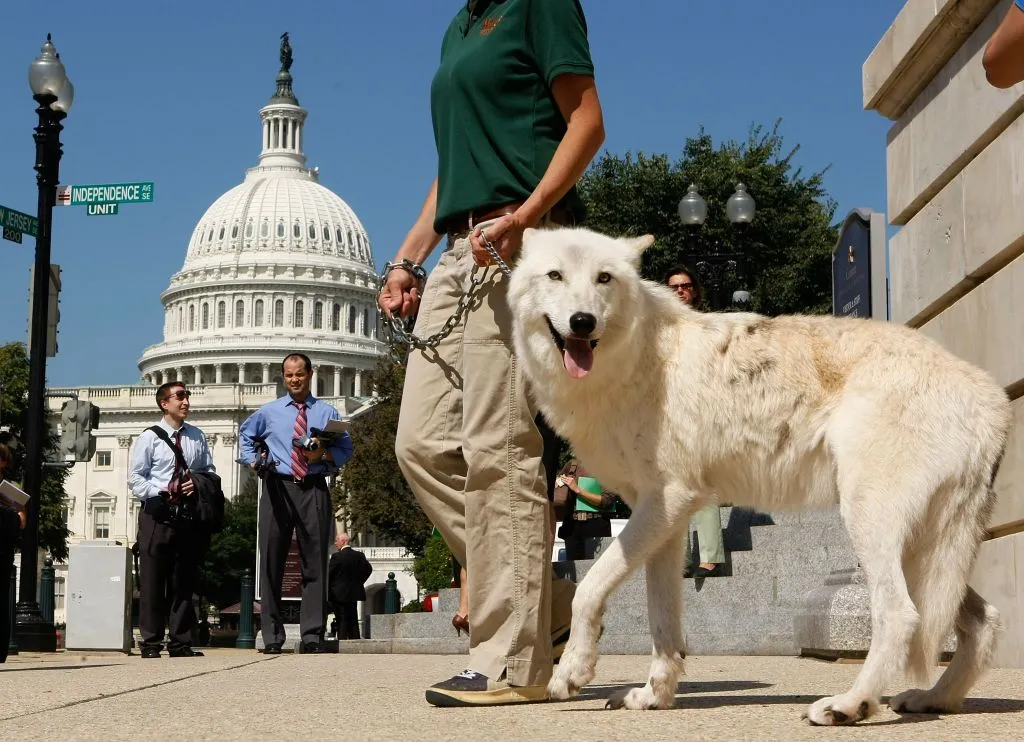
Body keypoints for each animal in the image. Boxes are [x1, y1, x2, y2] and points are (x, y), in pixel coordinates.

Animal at [505, 226, 1011, 725]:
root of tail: (991, 397)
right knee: (982, 619)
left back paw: (851, 704)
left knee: (901, 614)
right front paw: (653, 697)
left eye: (604, 278)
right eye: (555, 275)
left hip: (871, 524)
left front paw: (571, 673)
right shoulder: (665, 520)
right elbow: (663, 623)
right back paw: (934, 699)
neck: (632, 363)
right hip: (927, 552)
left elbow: (587, 589)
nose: (582, 321)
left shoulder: (667, 502)